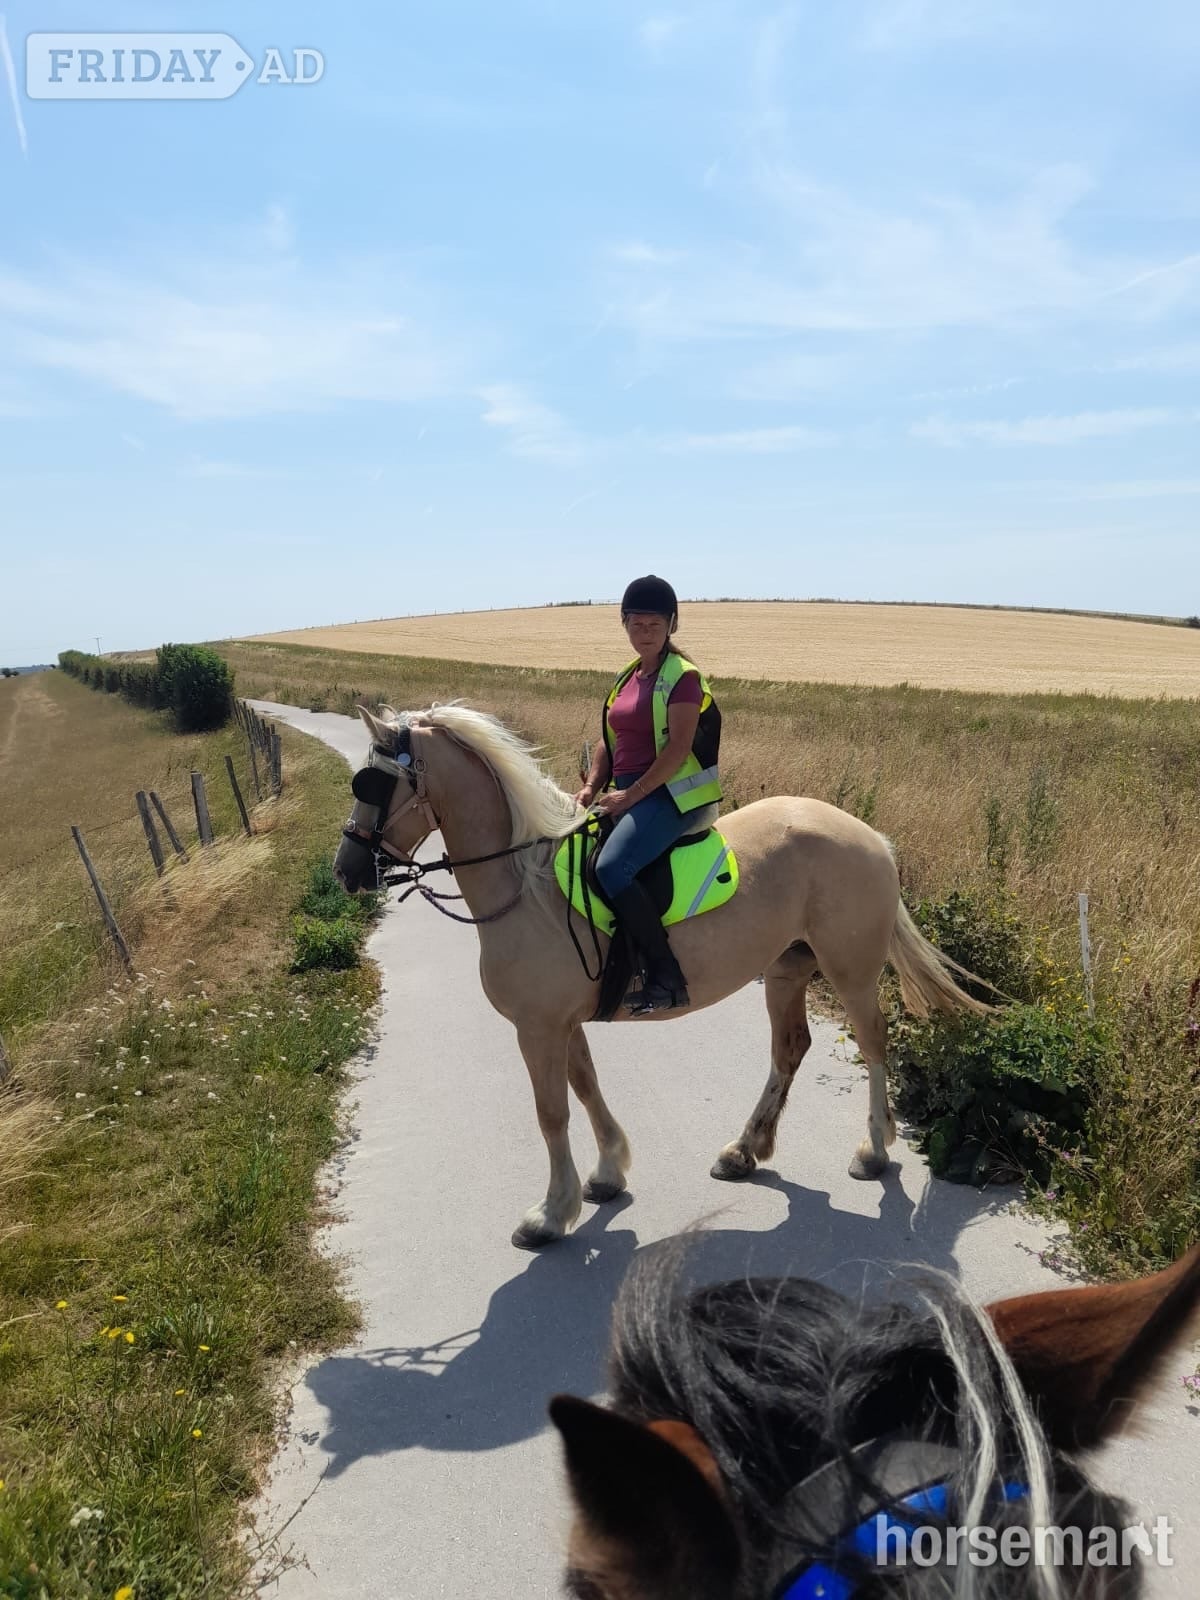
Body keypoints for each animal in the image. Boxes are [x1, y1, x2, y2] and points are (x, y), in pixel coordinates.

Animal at [333, 702, 989, 1251]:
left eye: (373, 783)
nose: (347, 871)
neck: (527, 887)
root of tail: (871, 836)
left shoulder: (537, 1028)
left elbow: (552, 1113)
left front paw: (550, 1214)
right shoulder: (562, 1023)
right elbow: (586, 1087)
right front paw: (606, 1173)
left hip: (849, 973)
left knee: (874, 1045)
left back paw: (873, 1150)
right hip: (786, 970)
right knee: (789, 1048)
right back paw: (745, 1151)